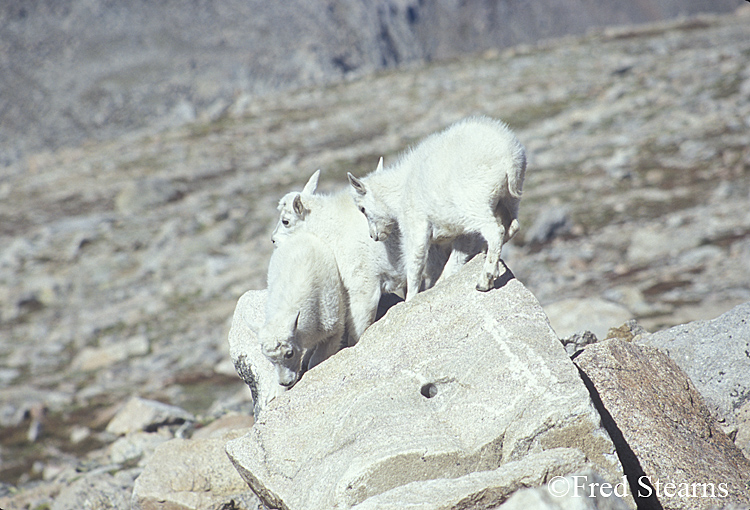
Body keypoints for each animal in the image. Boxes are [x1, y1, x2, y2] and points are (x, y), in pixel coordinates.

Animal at [348, 115, 528, 298]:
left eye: (362, 209)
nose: (374, 236)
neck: (399, 191)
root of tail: (510, 158)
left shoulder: (416, 225)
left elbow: (416, 263)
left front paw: (411, 297)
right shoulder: (461, 232)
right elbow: (455, 257)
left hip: (474, 202)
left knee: (495, 230)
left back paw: (485, 280)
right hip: (509, 200)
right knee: (513, 225)